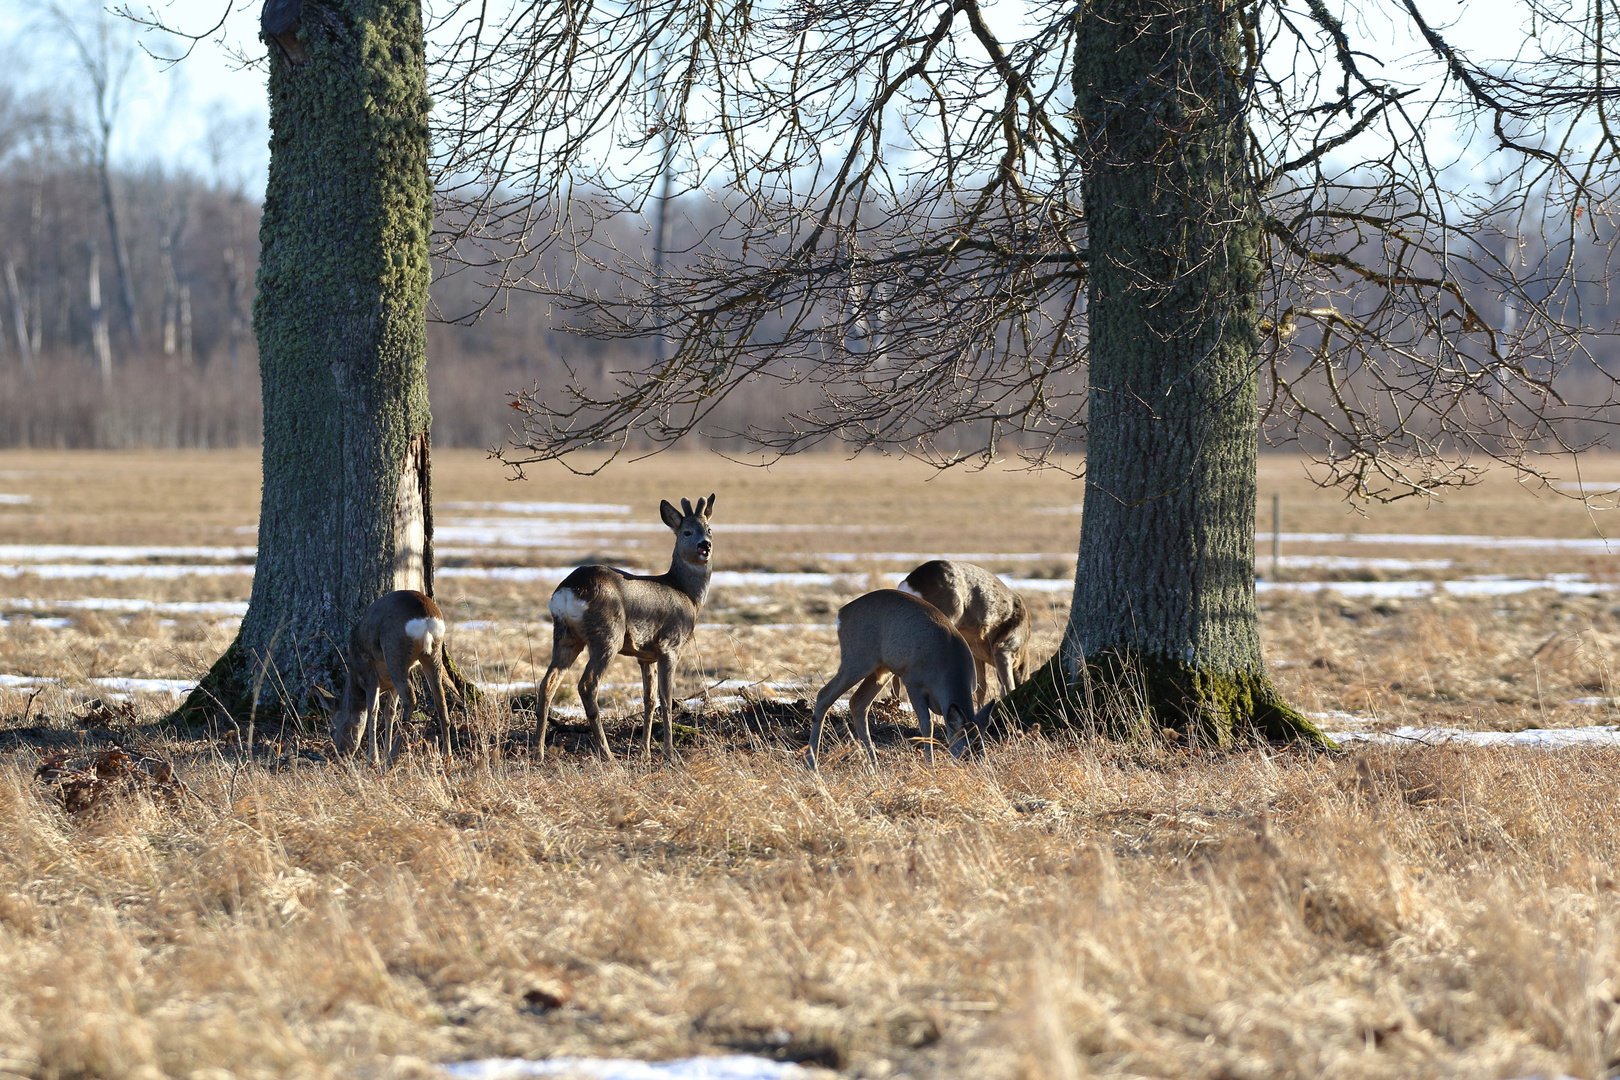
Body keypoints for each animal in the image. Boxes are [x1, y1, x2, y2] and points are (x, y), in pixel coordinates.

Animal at [330, 592, 453, 767]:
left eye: (333, 731)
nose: (341, 755)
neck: (355, 675)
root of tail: (427, 617)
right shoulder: (390, 684)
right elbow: (390, 712)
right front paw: (383, 753)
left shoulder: (369, 673)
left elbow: (373, 710)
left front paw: (373, 759)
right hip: (433, 654)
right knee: (440, 700)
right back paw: (447, 757)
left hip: (395, 653)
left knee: (410, 698)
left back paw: (392, 759)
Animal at [537, 495, 716, 761]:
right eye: (687, 532)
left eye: (709, 529)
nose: (705, 545)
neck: (687, 594)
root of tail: (570, 589)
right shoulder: (670, 646)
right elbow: (666, 699)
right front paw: (668, 752)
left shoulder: (646, 656)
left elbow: (649, 700)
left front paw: (645, 751)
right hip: (607, 635)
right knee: (587, 685)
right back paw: (607, 754)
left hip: (565, 635)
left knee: (547, 683)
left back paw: (538, 751)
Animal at [806, 586, 991, 773]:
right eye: (965, 753)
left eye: (982, 752)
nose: (974, 770)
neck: (948, 668)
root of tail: (841, 613)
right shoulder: (913, 682)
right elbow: (927, 726)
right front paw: (930, 766)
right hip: (857, 659)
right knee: (824, 694)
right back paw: (812, 763)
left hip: (881, 670)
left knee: (858, 702)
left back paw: (874, 765)